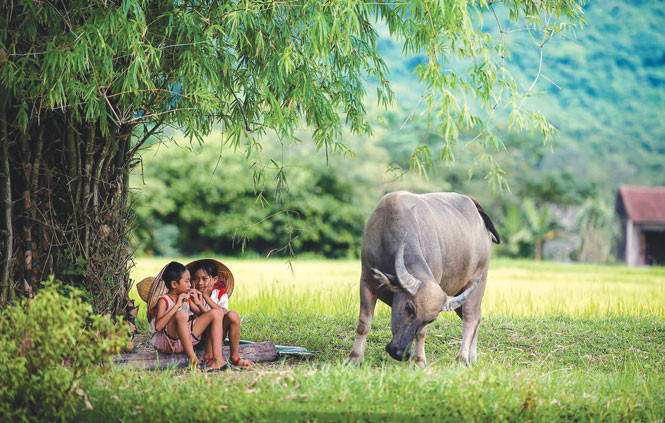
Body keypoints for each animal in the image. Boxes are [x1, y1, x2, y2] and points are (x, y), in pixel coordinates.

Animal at [348, 192, 498, 368]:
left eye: (431, 320)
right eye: (408, 307)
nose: (400, 353)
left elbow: (421, 333)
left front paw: (419, 360)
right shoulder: (366, 282)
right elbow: (363, 325)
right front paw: (354, 358)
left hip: (478, 282)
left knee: (471, 318)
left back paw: (462, 358)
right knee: (477, 317)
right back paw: (472, 358)